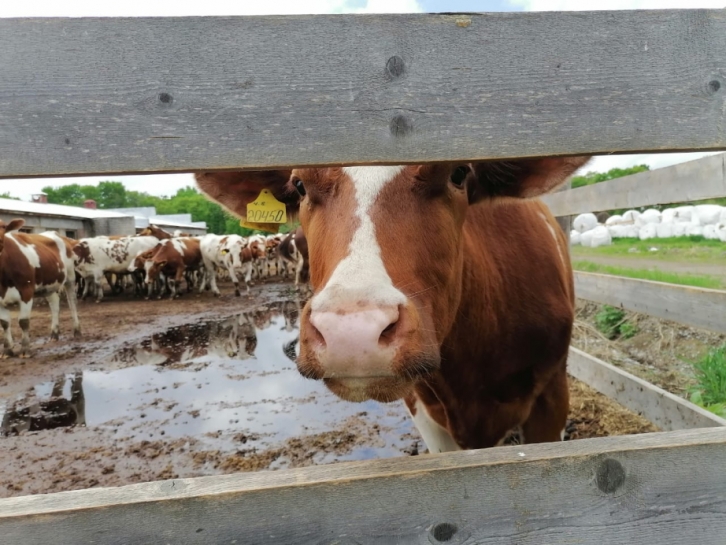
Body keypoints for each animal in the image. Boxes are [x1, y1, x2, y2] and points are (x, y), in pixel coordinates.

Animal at [0, 219, 81, 360]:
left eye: (3, 227)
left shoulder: (26, 291)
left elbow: (23, 321)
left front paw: (25, 350)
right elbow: (4, 323)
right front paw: (7, 351)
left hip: (70, 277)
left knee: (72, 303)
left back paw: (77, 331)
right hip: (48, 283)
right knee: (54, 303)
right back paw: (54, 334)